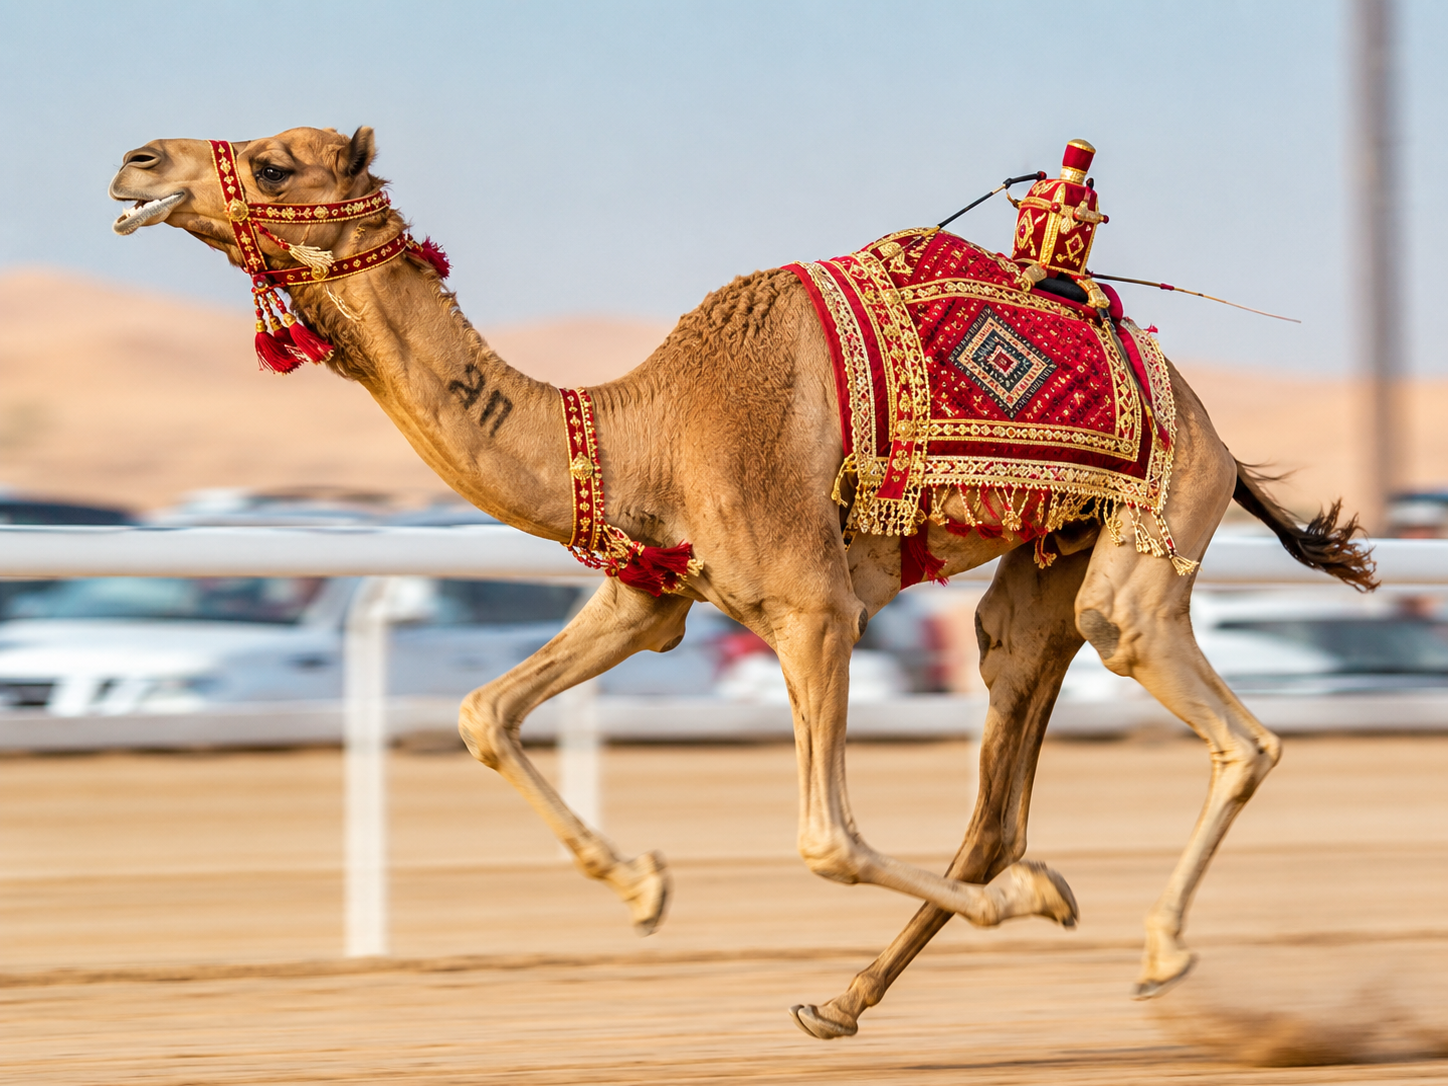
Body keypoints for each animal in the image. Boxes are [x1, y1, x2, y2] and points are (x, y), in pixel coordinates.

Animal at [108, 126, 1374, 1039]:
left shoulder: (813, 608)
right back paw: (845, 1001)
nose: (136, 163)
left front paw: (1042, 901)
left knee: (1217, 717)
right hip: (1041, 575)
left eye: (278, 160)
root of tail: (1200, 411)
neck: (643, 428)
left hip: (1155, 518)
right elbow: (481, 711)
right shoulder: (650, 595)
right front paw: (638, 886)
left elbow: (824, 838)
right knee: (999, 778)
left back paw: (1154, 948)